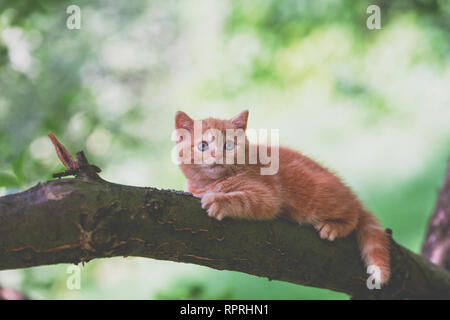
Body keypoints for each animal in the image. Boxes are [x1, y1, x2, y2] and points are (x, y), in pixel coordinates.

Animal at [174, 109, 388, 282]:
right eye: (202, 146)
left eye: (228, 145)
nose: (217, 155)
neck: (208, 183)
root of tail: (350, 194)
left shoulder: (268, 195)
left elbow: (244, 199)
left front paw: (218, 201)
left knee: (353, 215)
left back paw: (335, 226)